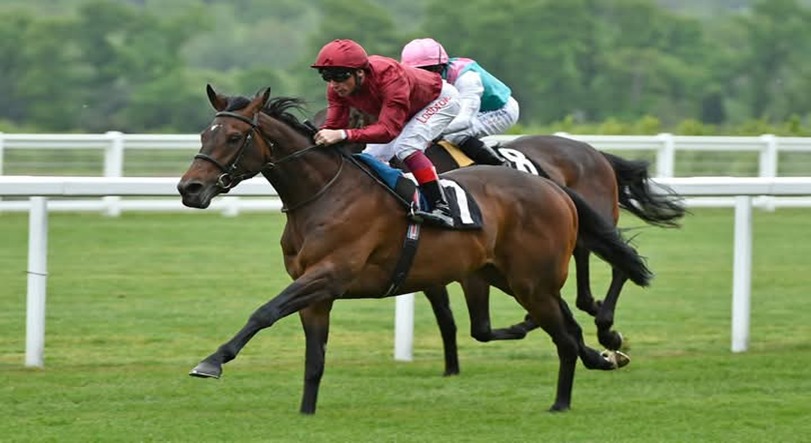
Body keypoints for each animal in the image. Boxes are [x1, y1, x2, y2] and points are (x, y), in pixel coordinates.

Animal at [311, 109, 685, 375]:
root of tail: (595, 152)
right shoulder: (424, 258)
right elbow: (447, 315)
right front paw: (451, 368)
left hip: (595, 215)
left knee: (617, 262)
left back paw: (605, 327)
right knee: (584, 268)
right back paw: (587, 311)